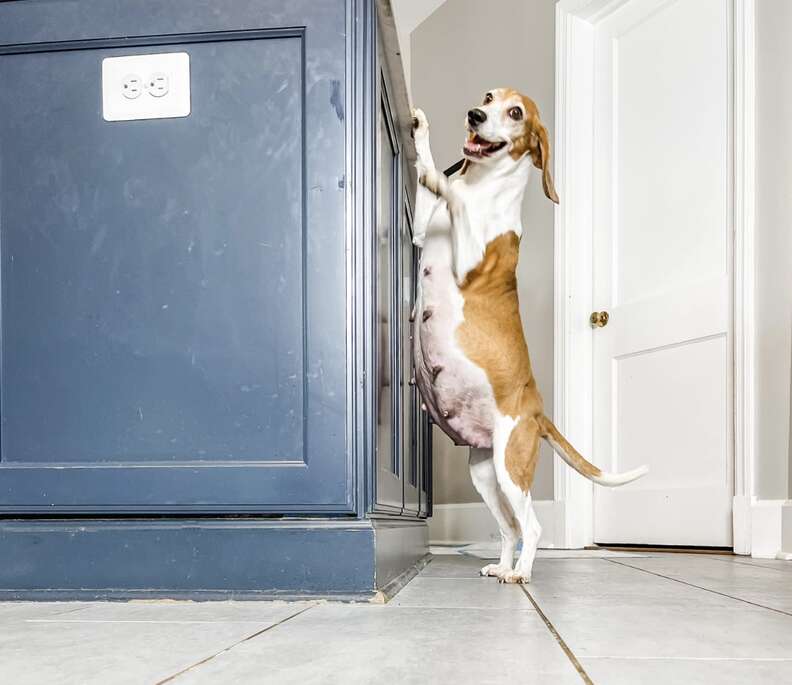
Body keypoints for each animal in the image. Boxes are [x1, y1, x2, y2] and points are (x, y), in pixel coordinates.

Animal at [412, 89, 648, 584]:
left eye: (515, 112)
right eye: (488, 97)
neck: (483, 185)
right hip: (487, 475)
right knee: (509, 528)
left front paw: (440, 178)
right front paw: (422, 136)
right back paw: (503, 567)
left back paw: (521, 572)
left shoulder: (468, 259)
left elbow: (452, 196)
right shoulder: (423, 230)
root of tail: (537, 410)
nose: (475, 115)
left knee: (532, 527)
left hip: (510, 468)